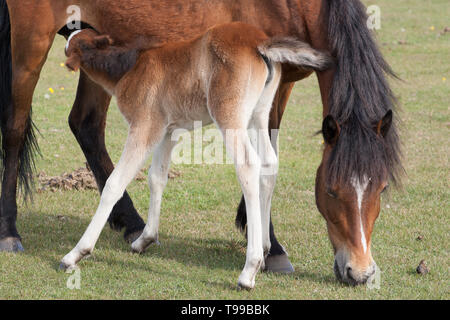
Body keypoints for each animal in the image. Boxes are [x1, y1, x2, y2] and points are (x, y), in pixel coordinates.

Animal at [0, 0, 400, 284]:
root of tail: (259, 46)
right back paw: (10, 233)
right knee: (17, 128)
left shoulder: (154, 127)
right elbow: (154, 177)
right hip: (31, 42)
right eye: (331, 190)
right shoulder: (165, 128)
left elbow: (127, 181)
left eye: (382, 188)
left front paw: (80, 253)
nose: (360, 273)